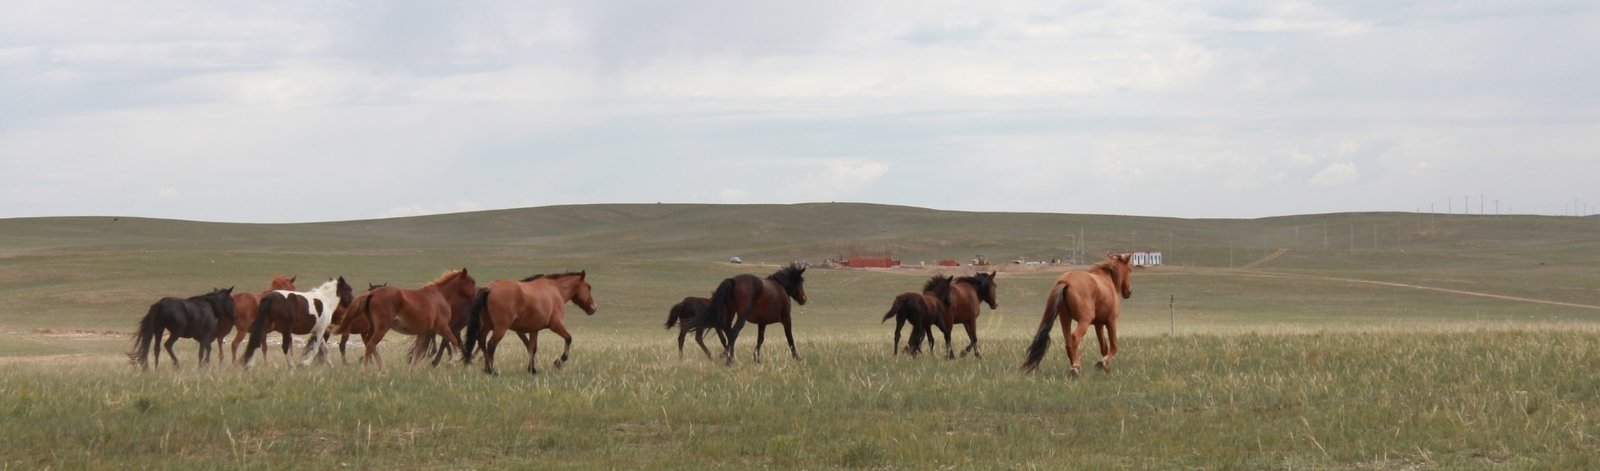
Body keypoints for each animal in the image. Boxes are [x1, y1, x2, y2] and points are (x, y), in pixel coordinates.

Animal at [464, 272, 601, 374]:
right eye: (588, 287)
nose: (593, 308)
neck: (555, 290)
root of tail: (490, 288)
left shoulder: (534, 329)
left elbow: (532, 348)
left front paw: (532, 369)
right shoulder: (556, 325)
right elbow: (568, 338)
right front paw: (558, 362)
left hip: (487, 326)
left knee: (482, 341)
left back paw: (486, 368)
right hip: (501, 328)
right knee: (491, 344)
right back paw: (492, 370)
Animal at [684, 262, 812, 366]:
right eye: (800, 281)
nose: (804, 299)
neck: (780, 287)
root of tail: (733, 281)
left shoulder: (762, 322)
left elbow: (760, 339)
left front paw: (756, 359)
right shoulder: (786, 319)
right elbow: (789, 337)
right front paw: (797, 357)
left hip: (730, 314)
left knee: (728, 332)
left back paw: (729, 356)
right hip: (742, 316)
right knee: (733, 333)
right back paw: (728, 359)